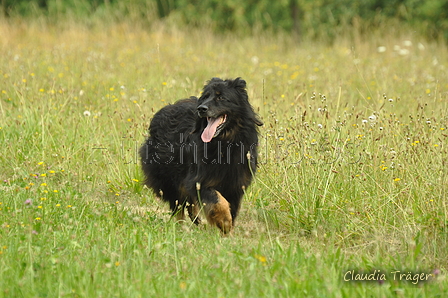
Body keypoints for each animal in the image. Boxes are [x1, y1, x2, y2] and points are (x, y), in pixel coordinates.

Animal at [138, 78, 260, 234]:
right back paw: (181, 227)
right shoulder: (199, 180)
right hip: (169, 177)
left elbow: (231, 207)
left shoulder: (236, 184)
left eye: (221, 97)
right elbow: (217, 200)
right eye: (205, 97)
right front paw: (224, 221)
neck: (224, 143)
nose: (201, 109)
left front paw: (227, 230)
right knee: (178, 205)